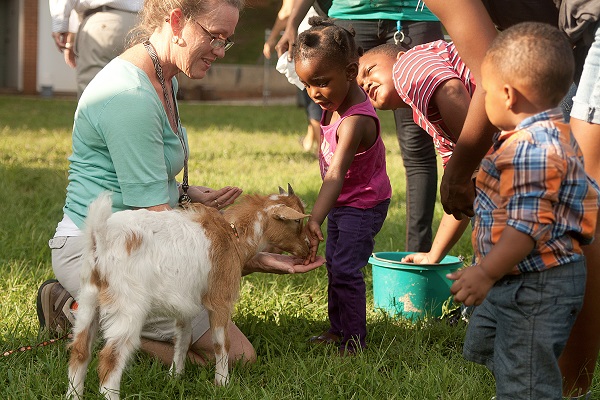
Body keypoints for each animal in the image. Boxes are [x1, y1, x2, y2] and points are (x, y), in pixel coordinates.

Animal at [65, 188, 310, 400]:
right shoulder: (220, 299)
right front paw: (222, 383)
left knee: (79, 351)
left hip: (88, 299)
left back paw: (73, 395)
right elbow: (221, 343)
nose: (308, 248)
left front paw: (175, 377)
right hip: (127, 306)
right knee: (110, 358)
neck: (233, 235)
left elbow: (183, 338)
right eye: (297, 220)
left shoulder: (185, 305)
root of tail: (100, 237)